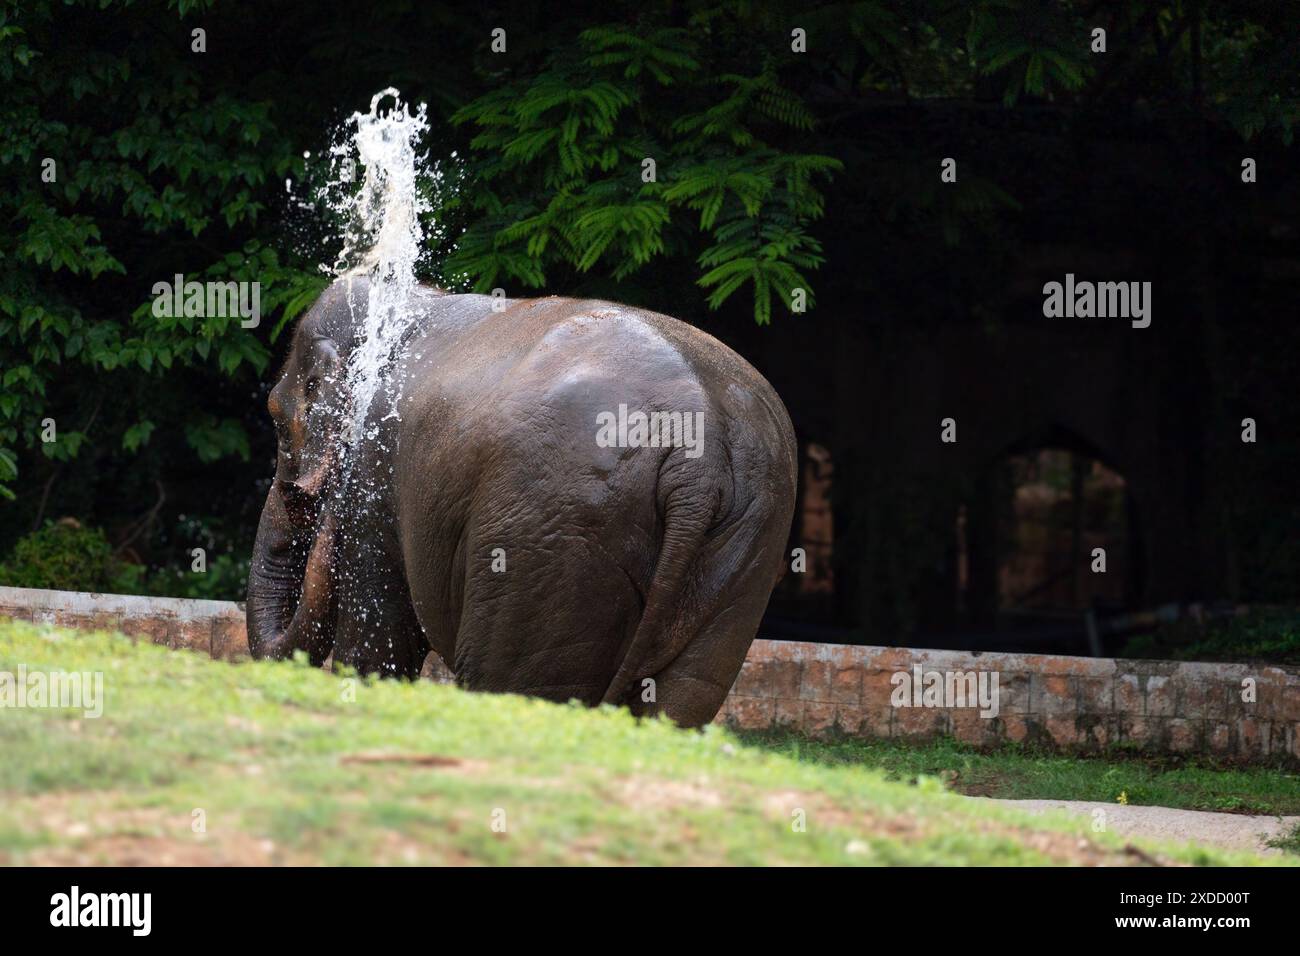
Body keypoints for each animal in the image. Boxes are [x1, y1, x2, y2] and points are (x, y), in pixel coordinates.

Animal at [246, 276, 797, 727]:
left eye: (276, 420)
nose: (298, 492)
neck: (414, 300)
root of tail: (697, 459)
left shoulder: (374, 478)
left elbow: (379, 639)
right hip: (747, 545)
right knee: (684, 694)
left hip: (549, 536)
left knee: (516, 683)